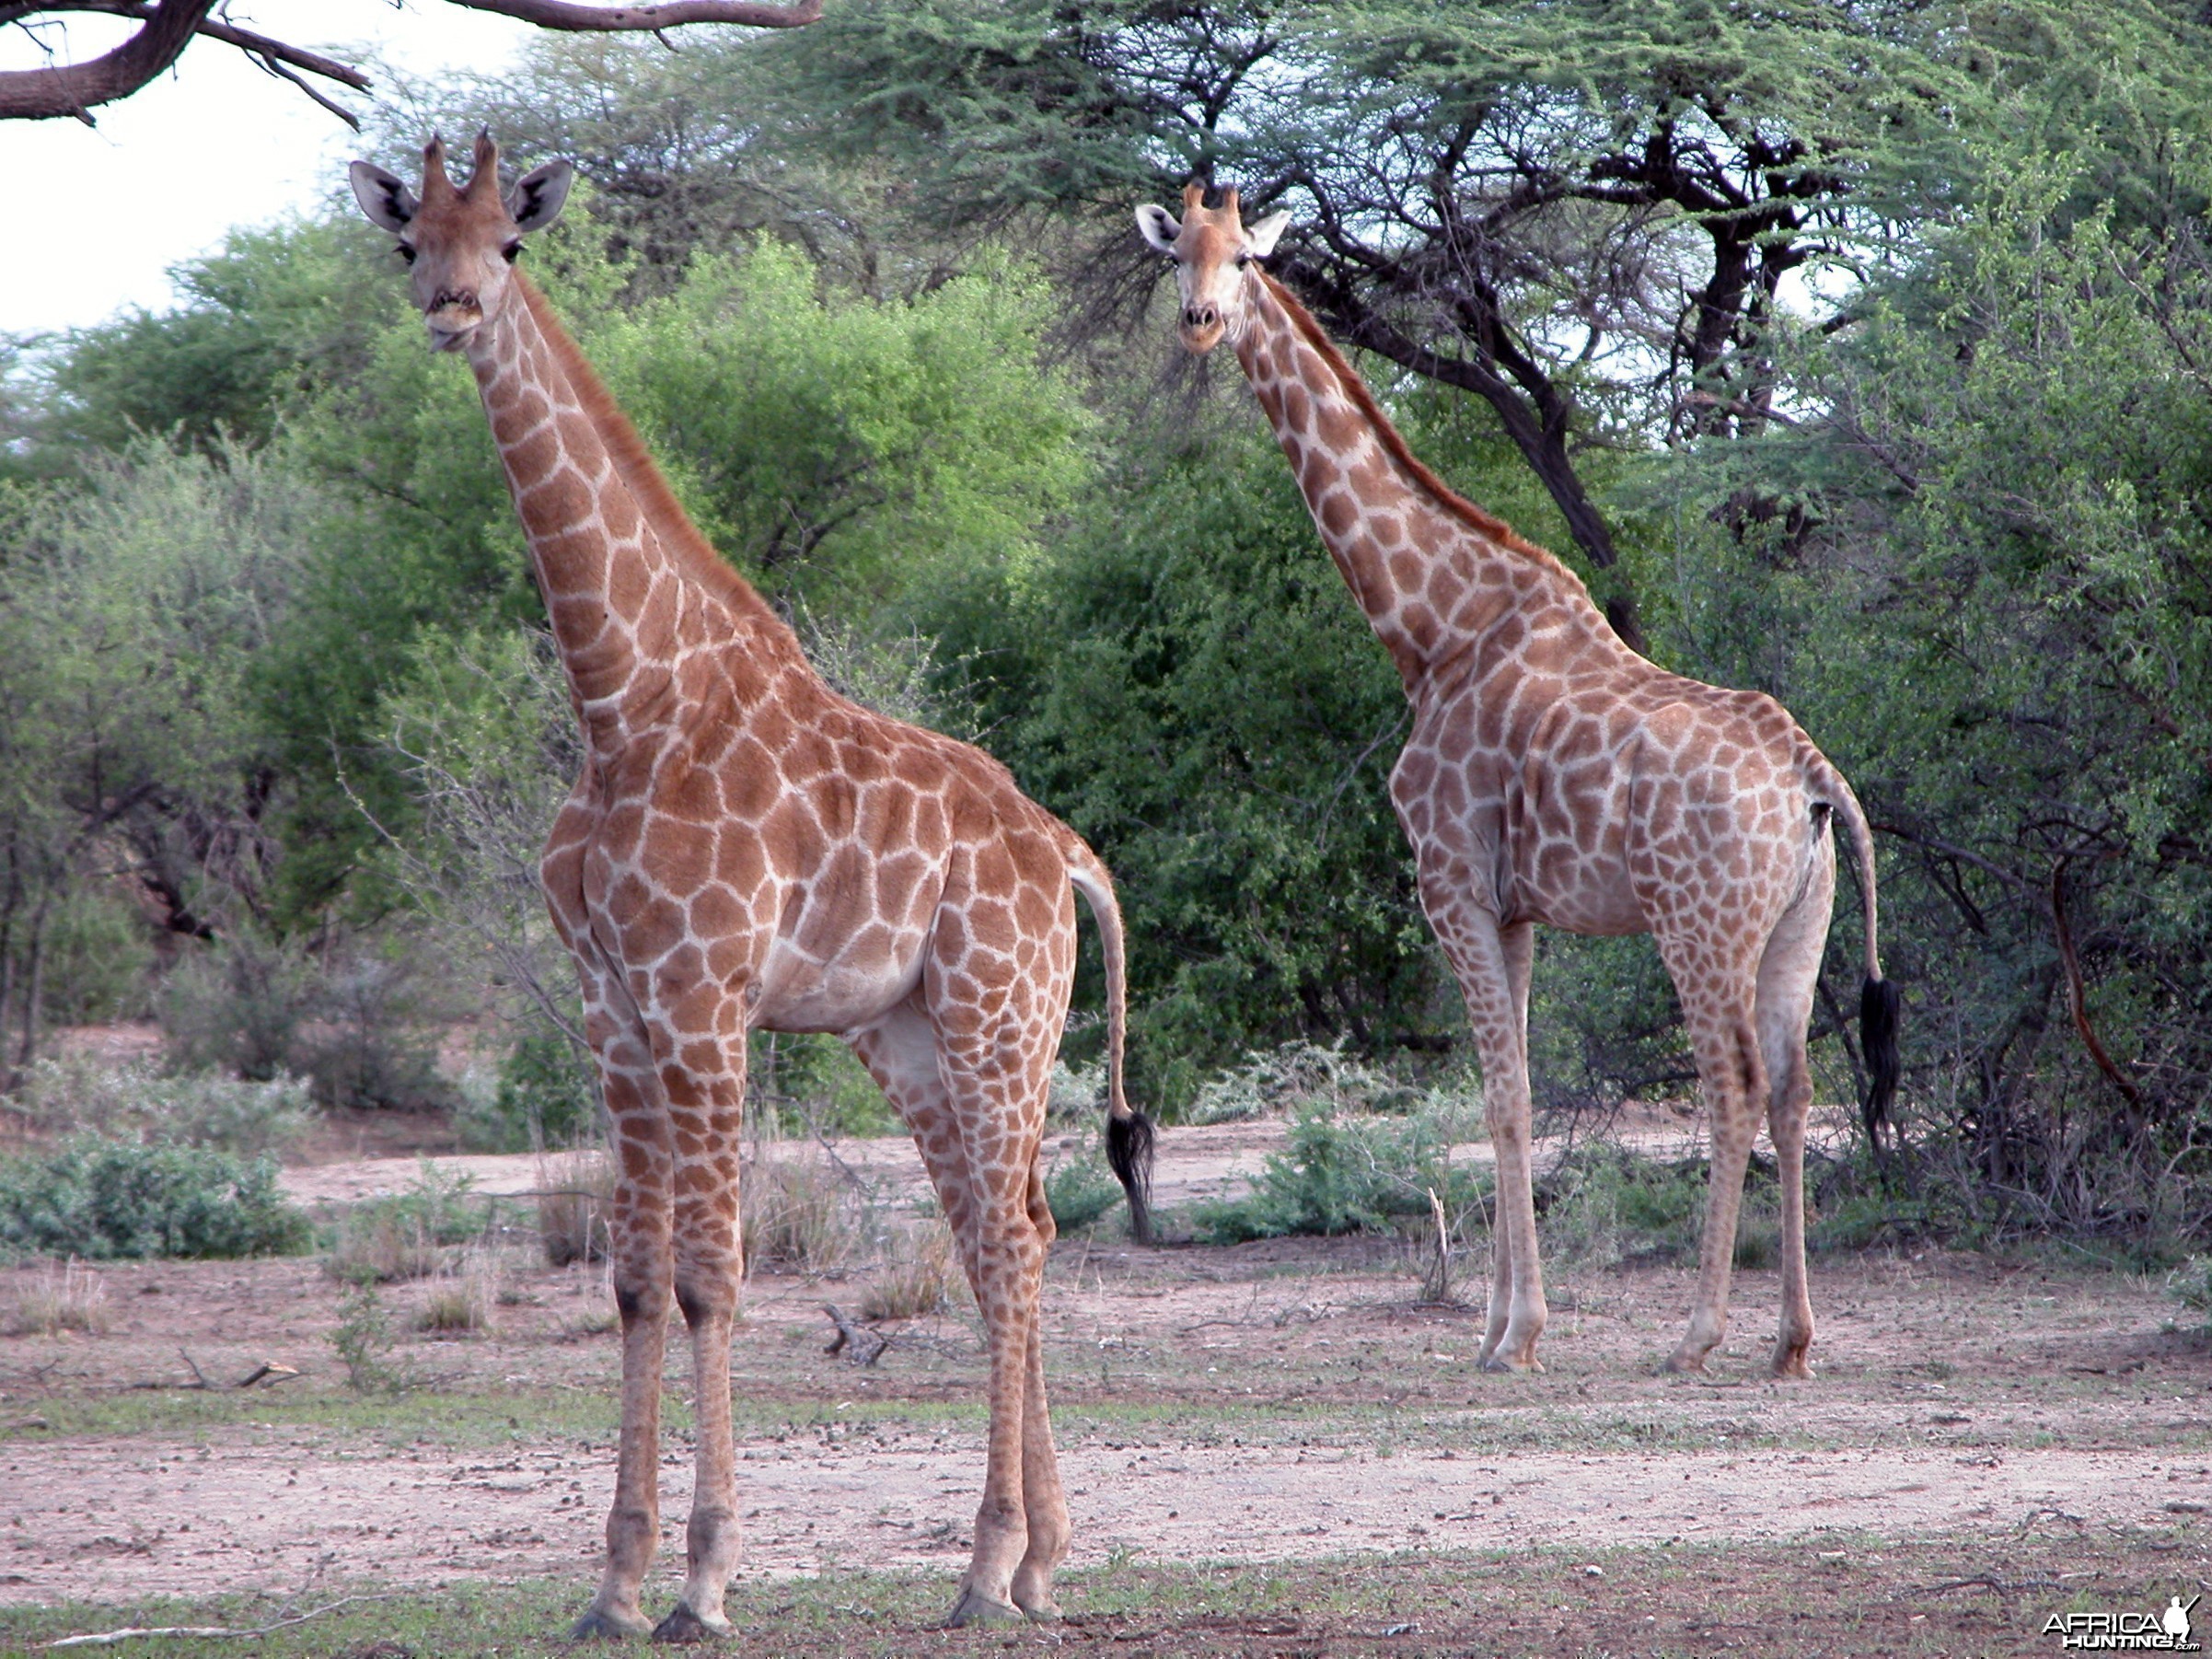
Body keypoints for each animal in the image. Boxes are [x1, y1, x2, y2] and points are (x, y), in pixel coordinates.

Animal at [349, 136, 1159, 1645]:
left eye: (511, 245)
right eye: (408, 241)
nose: (449, 309)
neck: (623, 702)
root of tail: (1066, 851)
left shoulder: (705, 992)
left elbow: (711, 1275)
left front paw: (705, 1581)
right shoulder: (612, 1008)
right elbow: (628, 1279)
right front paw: (611, 1584)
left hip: (1000, 1016)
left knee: (1014, 1238)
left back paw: (987, 1567)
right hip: (908, 1034)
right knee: (998, 1234)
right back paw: (1034, 1563)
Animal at [1141, 179, 1902, 1380]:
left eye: (1248, 260)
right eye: (1181, 256)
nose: (1201, 322)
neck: (1430, 631)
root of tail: (1810, 771)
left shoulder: (1447, 880)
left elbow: (1497, 1099)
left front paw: (1515, 1334)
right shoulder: (1515, 906)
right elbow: (1522, 1093)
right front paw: (1505, 1321)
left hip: (1697, 922)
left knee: (1732, 1088)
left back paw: (1697, 1332)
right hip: (1798, 924)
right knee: (1793, 1091)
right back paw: (1790, 1338)